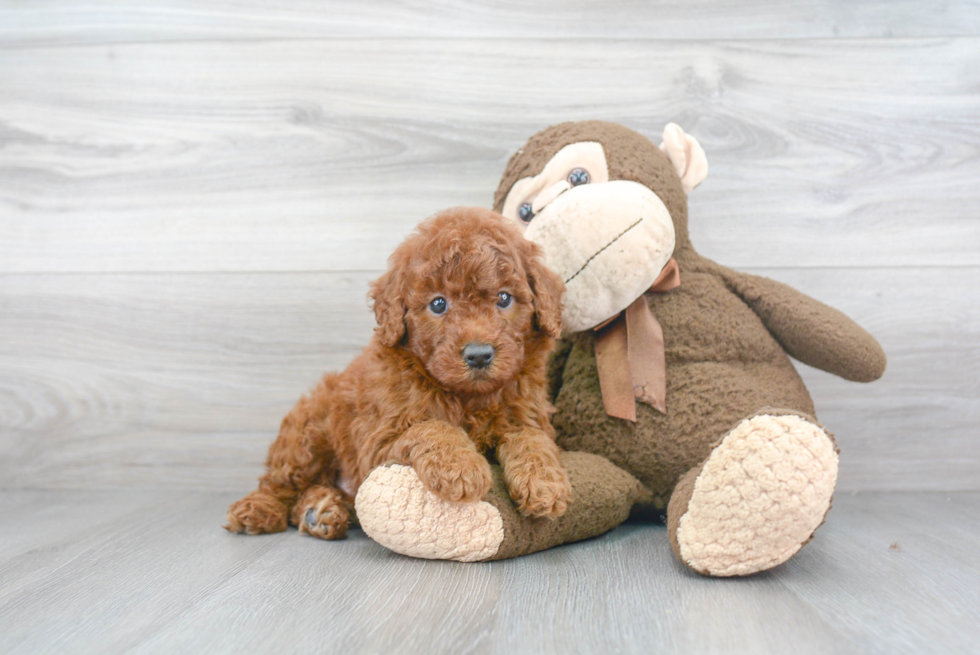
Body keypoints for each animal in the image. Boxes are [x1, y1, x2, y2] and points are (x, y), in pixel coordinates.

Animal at [226, 208, 572, 540]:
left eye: (504, 298)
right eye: (438, 304)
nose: (478, 355)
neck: (470, 398)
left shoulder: (529, 414)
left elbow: (532, 437)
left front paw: (545, 483)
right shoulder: (377, 443)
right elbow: (431, 427)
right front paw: (460, 468)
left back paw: (321, 512)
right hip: (308, 433)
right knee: (279, 482)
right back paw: (259, 510)